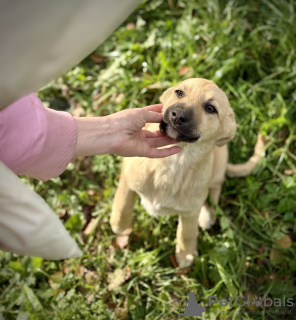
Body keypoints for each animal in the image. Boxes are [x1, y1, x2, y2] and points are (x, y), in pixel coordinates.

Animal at [110, 77, 262, 268]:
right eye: (179, 92)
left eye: (210, 108)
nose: (177, 115)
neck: (176, 160)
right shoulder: (127, 176)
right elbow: (122, 204)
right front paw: (119, 225)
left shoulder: (190, 211)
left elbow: (187, 233)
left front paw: (186, 254)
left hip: (219, 163)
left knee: (216, 187)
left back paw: (206, 215)